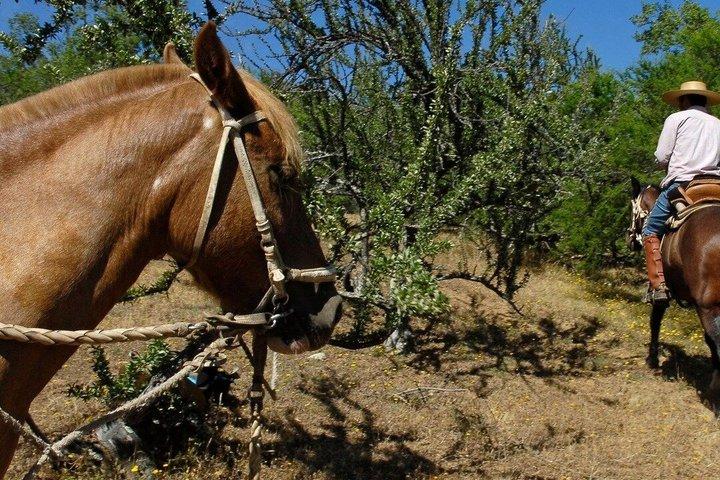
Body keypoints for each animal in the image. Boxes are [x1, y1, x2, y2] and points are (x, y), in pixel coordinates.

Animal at [628, 177, 720, 391]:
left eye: (632, 210)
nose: (630, 240)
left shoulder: (660, 290)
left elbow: (655, 321)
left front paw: (652, 359)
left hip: (708, 306)